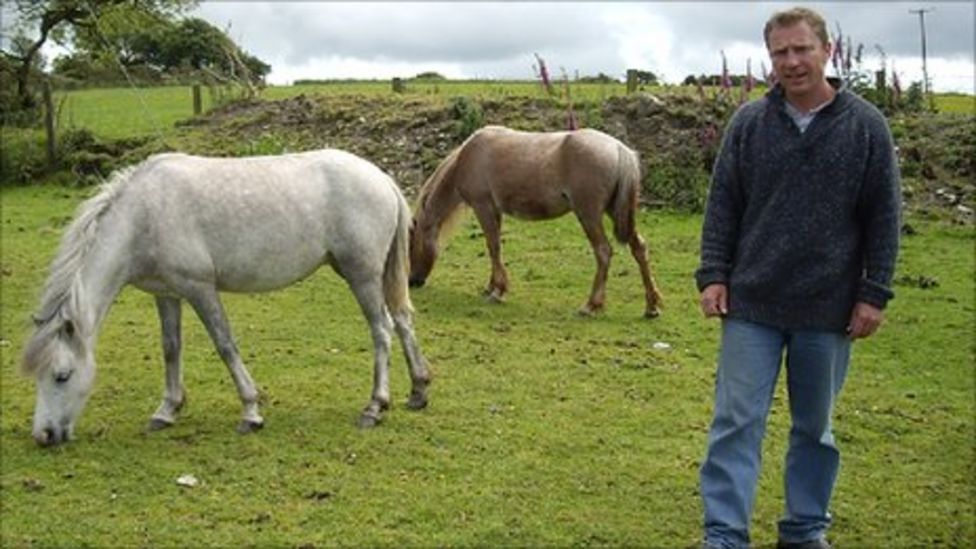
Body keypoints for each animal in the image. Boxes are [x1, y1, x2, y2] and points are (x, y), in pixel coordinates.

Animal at [21, 149, 431, 447]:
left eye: (62, 375)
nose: (44, 436)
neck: (143, 216)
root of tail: (380, 178)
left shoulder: (200, 289)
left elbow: (225, 345)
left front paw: (250, 412)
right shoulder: (167, 295)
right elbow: (171, 348)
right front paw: (167, 410)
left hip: (362, 275)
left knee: (382, 330)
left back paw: (375, 406)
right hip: (376, 276)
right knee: (403, 322)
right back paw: (418, 390)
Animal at [409, 125, 664, 317]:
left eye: (410, 247)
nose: (413, 281)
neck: (468, 157)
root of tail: (619, 149)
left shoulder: (484, 208)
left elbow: (493, 247)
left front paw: (498, 291)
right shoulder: (494, 211)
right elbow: (494, 248)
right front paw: (491, 287)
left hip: (589, 214)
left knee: (603, 252)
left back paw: (591, 305)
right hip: (616, 213)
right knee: (639, 248)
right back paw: (651, 306)